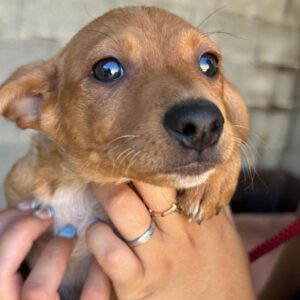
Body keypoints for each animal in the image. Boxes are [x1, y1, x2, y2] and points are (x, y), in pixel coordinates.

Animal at [0, 5, 248, 298]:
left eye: (209, 64)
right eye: (107, 70)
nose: (202, 124)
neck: (76, 185)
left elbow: (235, 133)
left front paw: (210, 186)